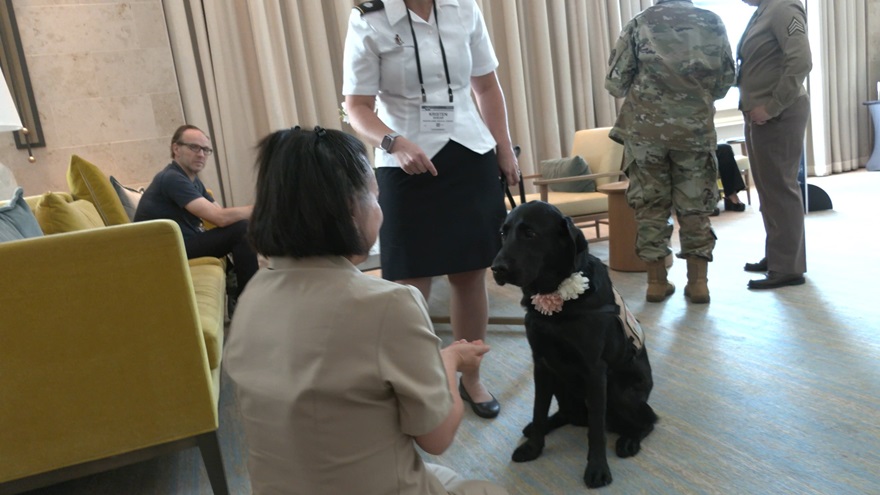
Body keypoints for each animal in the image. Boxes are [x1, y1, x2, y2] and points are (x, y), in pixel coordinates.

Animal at [492, 201, 656, 488]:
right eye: (504, 232)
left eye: (530, 233)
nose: (496, 268)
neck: (556, 303)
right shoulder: (541, 364)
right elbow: (538, 408)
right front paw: (533, 447)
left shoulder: (595, 371)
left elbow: (597, 429)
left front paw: (598, 468)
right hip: (561, 380)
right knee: (567, 414)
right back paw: (540, 427)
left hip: (619, 391)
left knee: (648, 419)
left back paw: (630, 439)